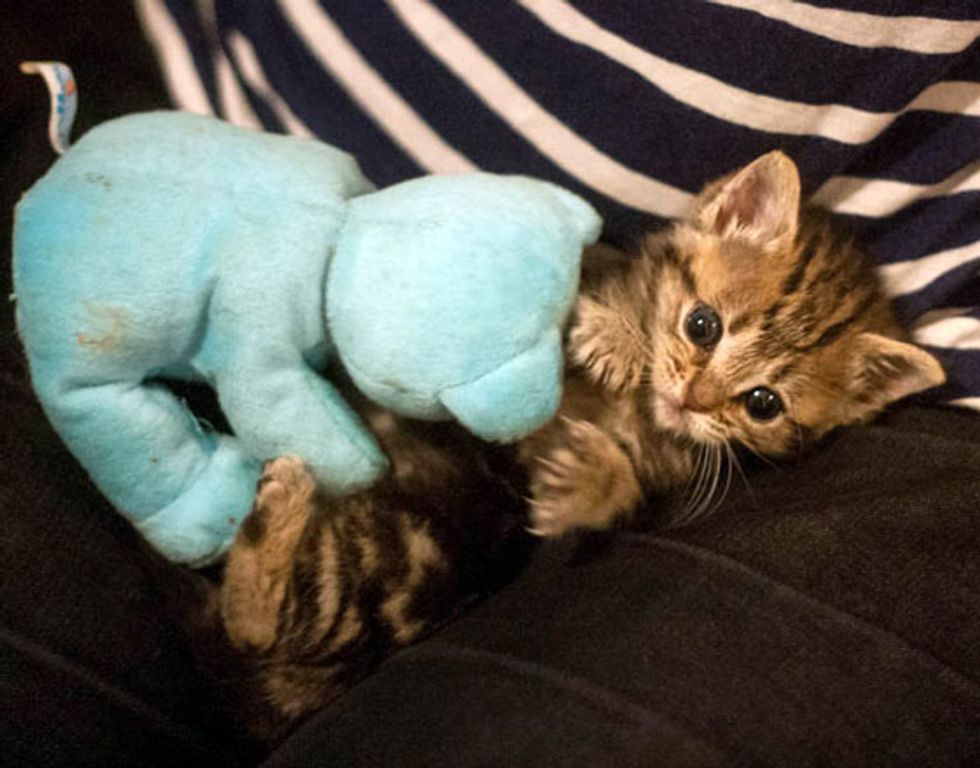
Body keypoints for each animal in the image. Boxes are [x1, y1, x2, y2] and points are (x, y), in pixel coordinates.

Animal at [187, 151, 944, 744]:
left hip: (398, 568)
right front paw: (614, 335)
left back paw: (279, 507)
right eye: (702, 325)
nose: (694, 401)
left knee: (255, 622)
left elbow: (624, 478)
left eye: (763, 404)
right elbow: (569, 296)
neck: (640, 410)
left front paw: (590, 479)